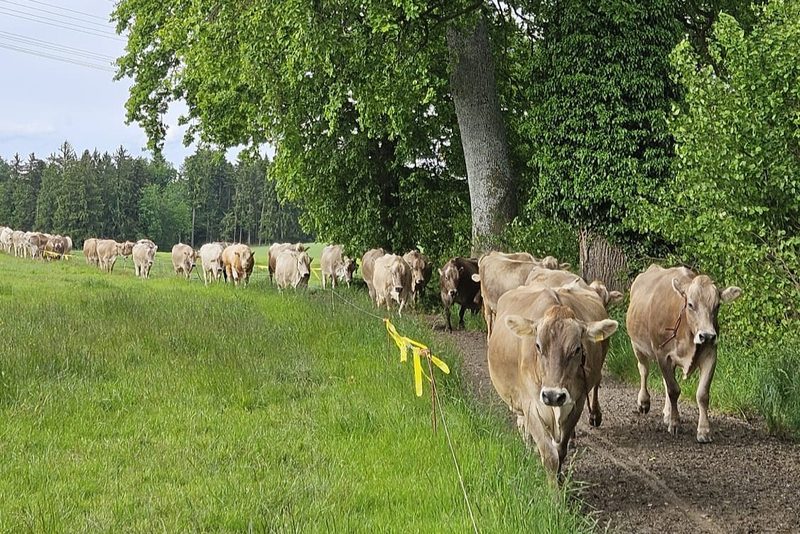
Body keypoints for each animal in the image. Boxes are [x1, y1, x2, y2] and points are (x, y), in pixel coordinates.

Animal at [488, 284, 618, 479]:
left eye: (577, 349)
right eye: (538, 346)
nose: (553, 396)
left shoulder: (577, 403)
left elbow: (560, 451)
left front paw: (559, 479)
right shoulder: (530, 405)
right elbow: (549, 455)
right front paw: (551, 487)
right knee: (523, 426)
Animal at [626, 265, 741, 443]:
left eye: (717, 306)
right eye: (691, 304)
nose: (707, 335)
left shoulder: (710, 355)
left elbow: (702, 394)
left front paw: (704, 431)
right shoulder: (662, 354)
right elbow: (674, 390)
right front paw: (675, 424)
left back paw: (667, 413)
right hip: (637, 345)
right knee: (644, 370)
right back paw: (644, 402)